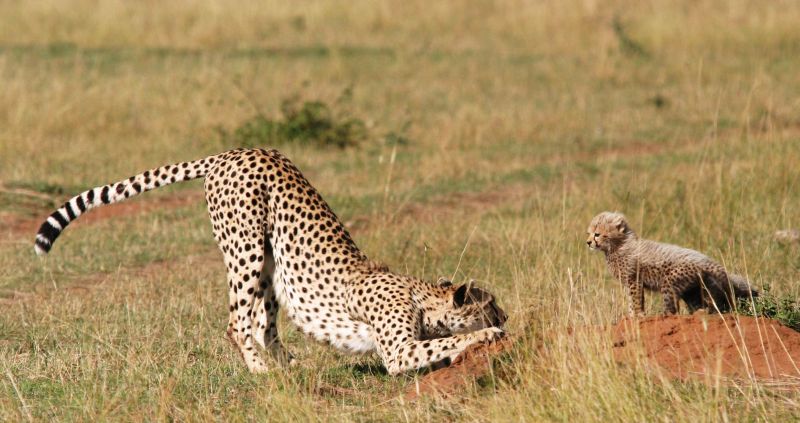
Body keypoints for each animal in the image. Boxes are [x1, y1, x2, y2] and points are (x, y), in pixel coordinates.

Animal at [34, 148, 506, 374]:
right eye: (493, 303)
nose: (507, 315)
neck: (422, 296)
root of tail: (239, 150)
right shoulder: (397, 351)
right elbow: (447, 342)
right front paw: (489, 335)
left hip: (270, 263)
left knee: (264, 324)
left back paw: (290, 367)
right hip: (244, 248)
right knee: (237, 323)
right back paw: (262, 371)